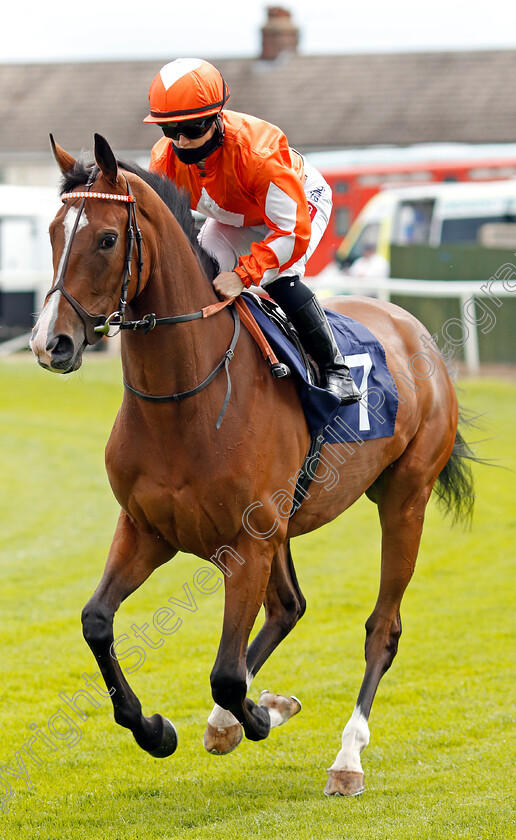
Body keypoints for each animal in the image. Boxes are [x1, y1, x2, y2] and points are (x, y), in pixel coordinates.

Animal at [29, 135, 476, 796]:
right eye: (55, 234)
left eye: (107, 239)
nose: (49, 343)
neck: (185, 398)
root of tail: (411, 325)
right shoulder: (147, 529)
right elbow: (97, 622)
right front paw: (158, 728)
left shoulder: (247, 541)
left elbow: (225, 673)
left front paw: (257, 715)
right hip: (285, 525)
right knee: (289, 607)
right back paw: (232, 723)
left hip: (404, 500)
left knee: (382, 627)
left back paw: (346, 756)